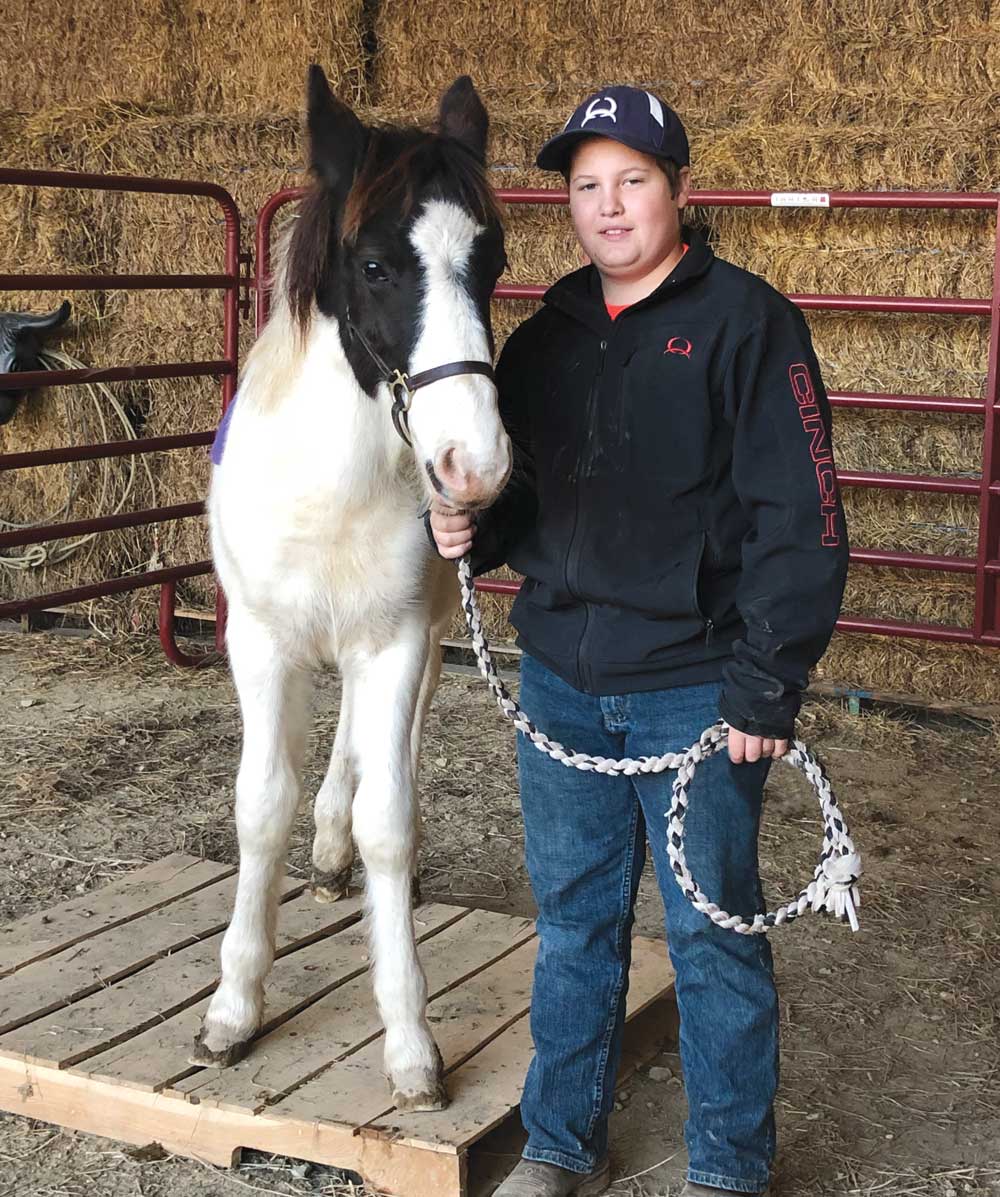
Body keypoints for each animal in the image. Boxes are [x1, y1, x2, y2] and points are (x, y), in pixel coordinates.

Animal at [191, 67, 512, 1110]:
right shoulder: (258, 644)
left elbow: (389, 822)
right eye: (374, 266)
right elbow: (261, 805)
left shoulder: (396, 640)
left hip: (425, 639)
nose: (473, 464)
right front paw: (234, 1005)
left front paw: (410, 1043)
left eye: (490, 261)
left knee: (386, 746)